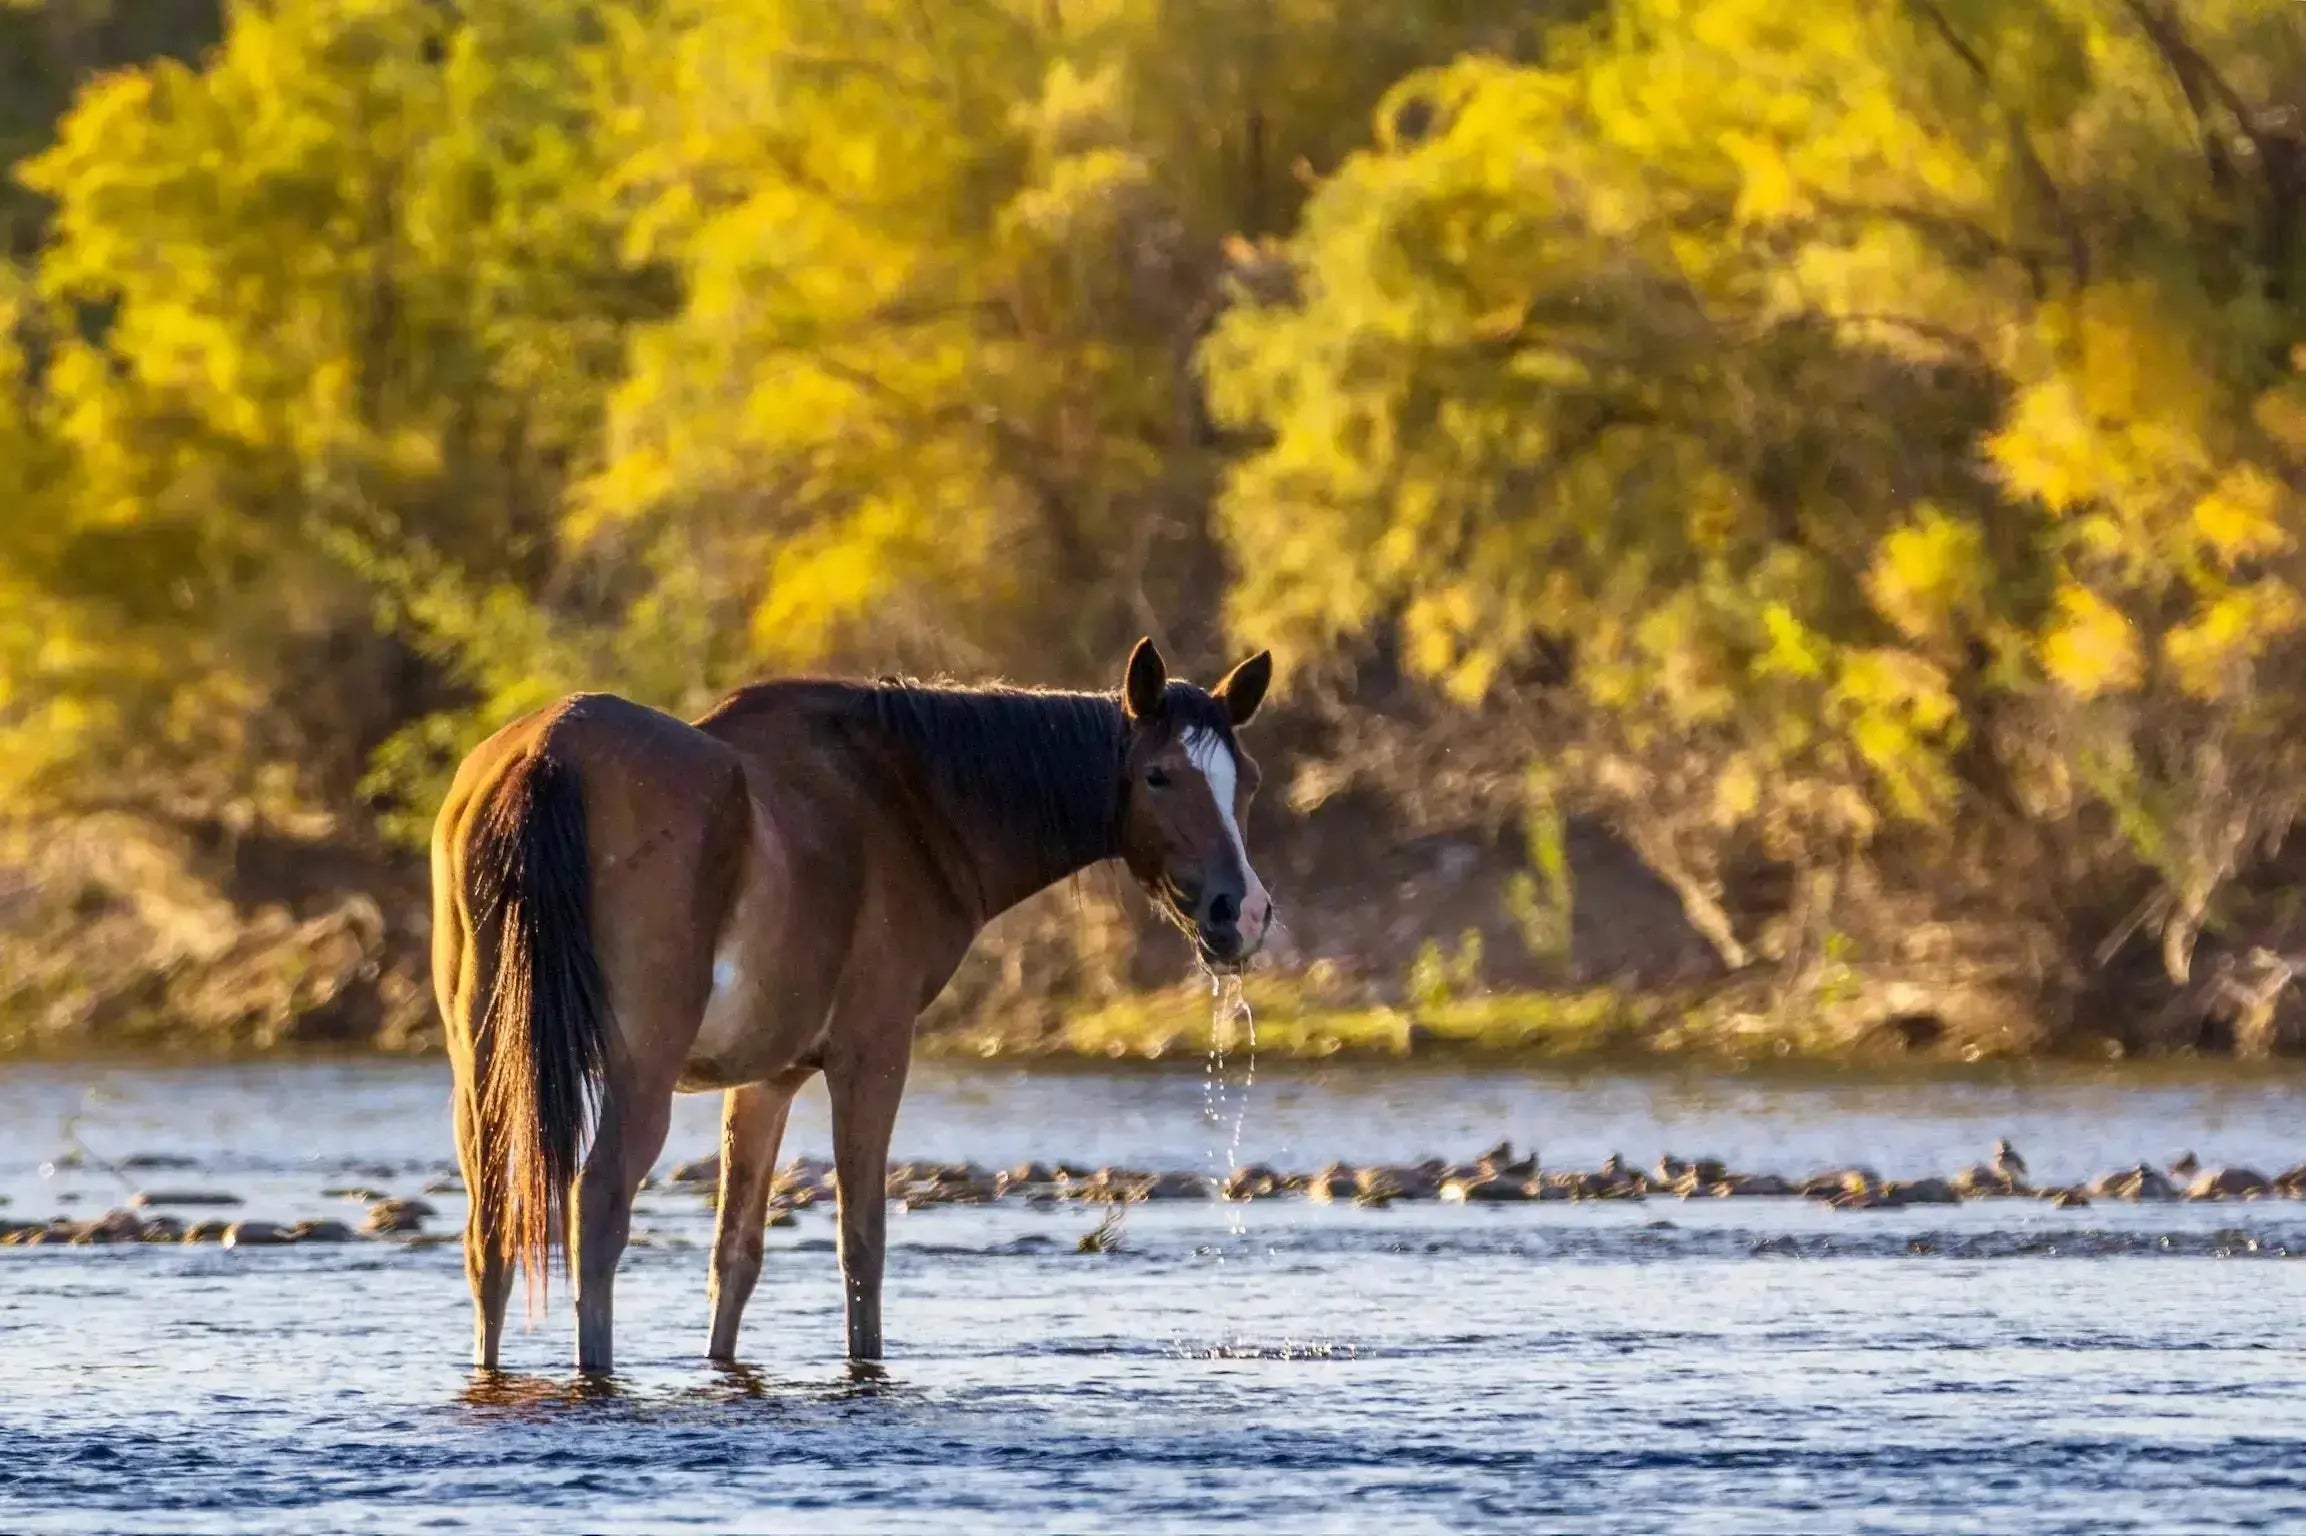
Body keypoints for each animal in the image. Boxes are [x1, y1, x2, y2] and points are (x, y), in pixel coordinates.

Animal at [432, 637, 1274, 1373]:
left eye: (1249, 780)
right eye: (1160, 775)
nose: (1241, 912)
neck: (910, 801)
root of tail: (550, 750)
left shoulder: (766, 1077)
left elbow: (735, 1253)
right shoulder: (872, 1050)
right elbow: (862, 1242)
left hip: (482, 1065)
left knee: (489, 1232)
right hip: (639, 1068)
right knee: (597, 1207)